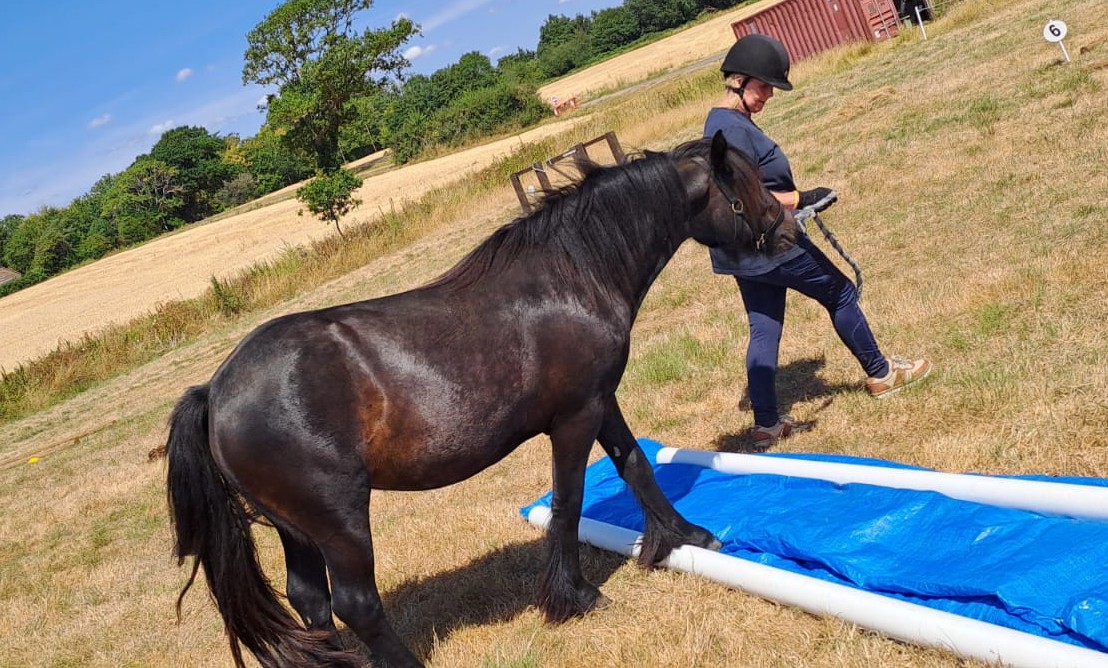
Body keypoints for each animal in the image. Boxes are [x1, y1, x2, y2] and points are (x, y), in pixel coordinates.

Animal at [164, 130, 789, 668]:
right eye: (747, 181)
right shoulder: (573, 417)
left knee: (310, 604)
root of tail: (215, 391)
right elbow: (568, 502)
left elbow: (635, 464)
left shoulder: (600, 400)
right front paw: (572, 596)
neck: (570, 278)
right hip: (339, 521)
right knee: (355, 604)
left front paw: (685, 537)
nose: (785, 229)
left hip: (296, 530)